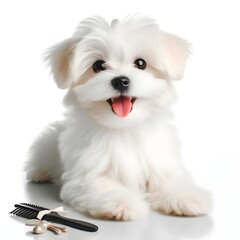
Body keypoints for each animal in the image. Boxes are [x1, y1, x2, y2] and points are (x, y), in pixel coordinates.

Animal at [25, 14, 211, 221]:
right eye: (98, 65)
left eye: (141, 63)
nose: (121, 81)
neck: (124, 127)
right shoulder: (86, 174)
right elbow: (102, 186)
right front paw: (121, 204)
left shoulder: (160, 161)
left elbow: (170, 179)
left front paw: (185, 197)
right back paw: (39, 173)